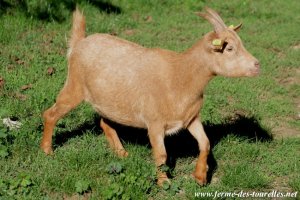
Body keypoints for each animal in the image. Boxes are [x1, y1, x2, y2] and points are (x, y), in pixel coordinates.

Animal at [40, 7, 260, 186]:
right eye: (229, 48)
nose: (257, 65)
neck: (180, 75)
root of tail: (79, 43)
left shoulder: (190, 118)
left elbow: (205, 143)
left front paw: (200, 177)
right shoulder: (155, 123)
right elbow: (161, 155)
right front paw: (164, 182)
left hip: (107, 102)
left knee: (105, 123)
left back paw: (121, 153)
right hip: (73, 87)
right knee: (50, 114)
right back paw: (47, 150)